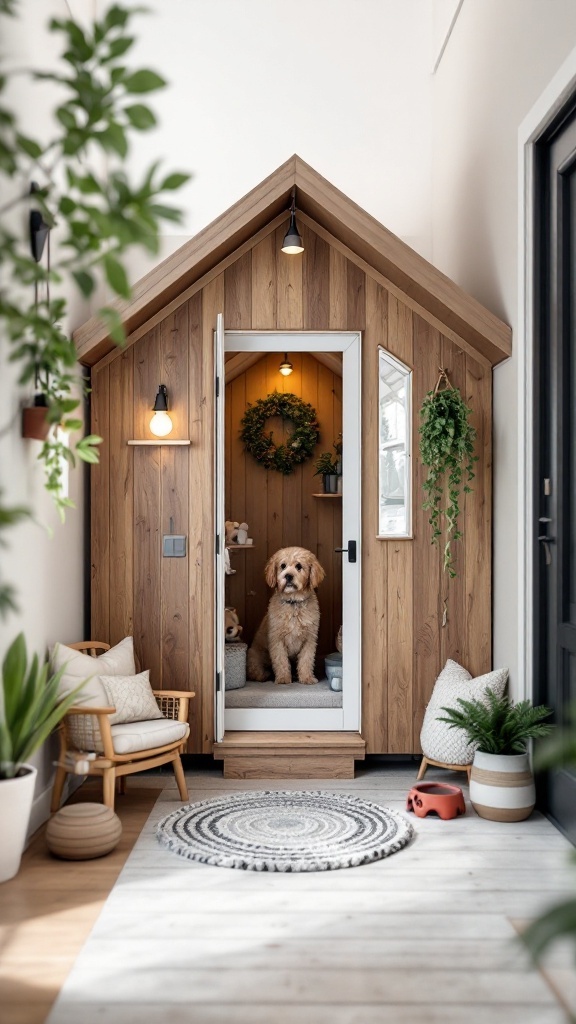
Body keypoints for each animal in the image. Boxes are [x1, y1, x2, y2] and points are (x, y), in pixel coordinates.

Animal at [245, 544, 323, 688]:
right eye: (283, 566)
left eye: (299, 566)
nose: (288, 576)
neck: (293, 603)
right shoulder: (277, 640)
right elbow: (280, 661)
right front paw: (283, 679)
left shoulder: (309, 640)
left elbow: (306, 660)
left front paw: (307, 678)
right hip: (254, 655)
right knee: (254, 671)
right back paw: (263, 675)